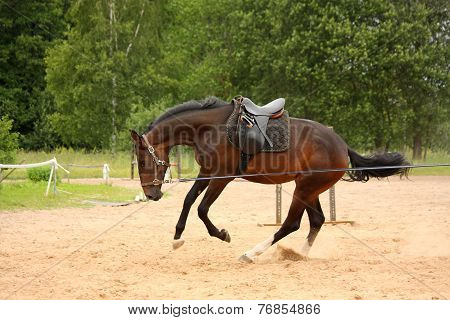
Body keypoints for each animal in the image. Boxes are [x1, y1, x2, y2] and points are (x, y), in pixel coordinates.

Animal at [129, 97, 408, 262]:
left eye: (142, 162)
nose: (151, 194)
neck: (210, 128)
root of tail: (341, 145)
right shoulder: (206, 172)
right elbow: (188, 200)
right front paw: (177, 238)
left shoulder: (222, 177)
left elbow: (202, 209)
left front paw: (222, 234)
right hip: (310, 189)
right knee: (316, 220)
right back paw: (298, 254)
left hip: (304, 188)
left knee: (292, 224)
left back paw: (253, 253)